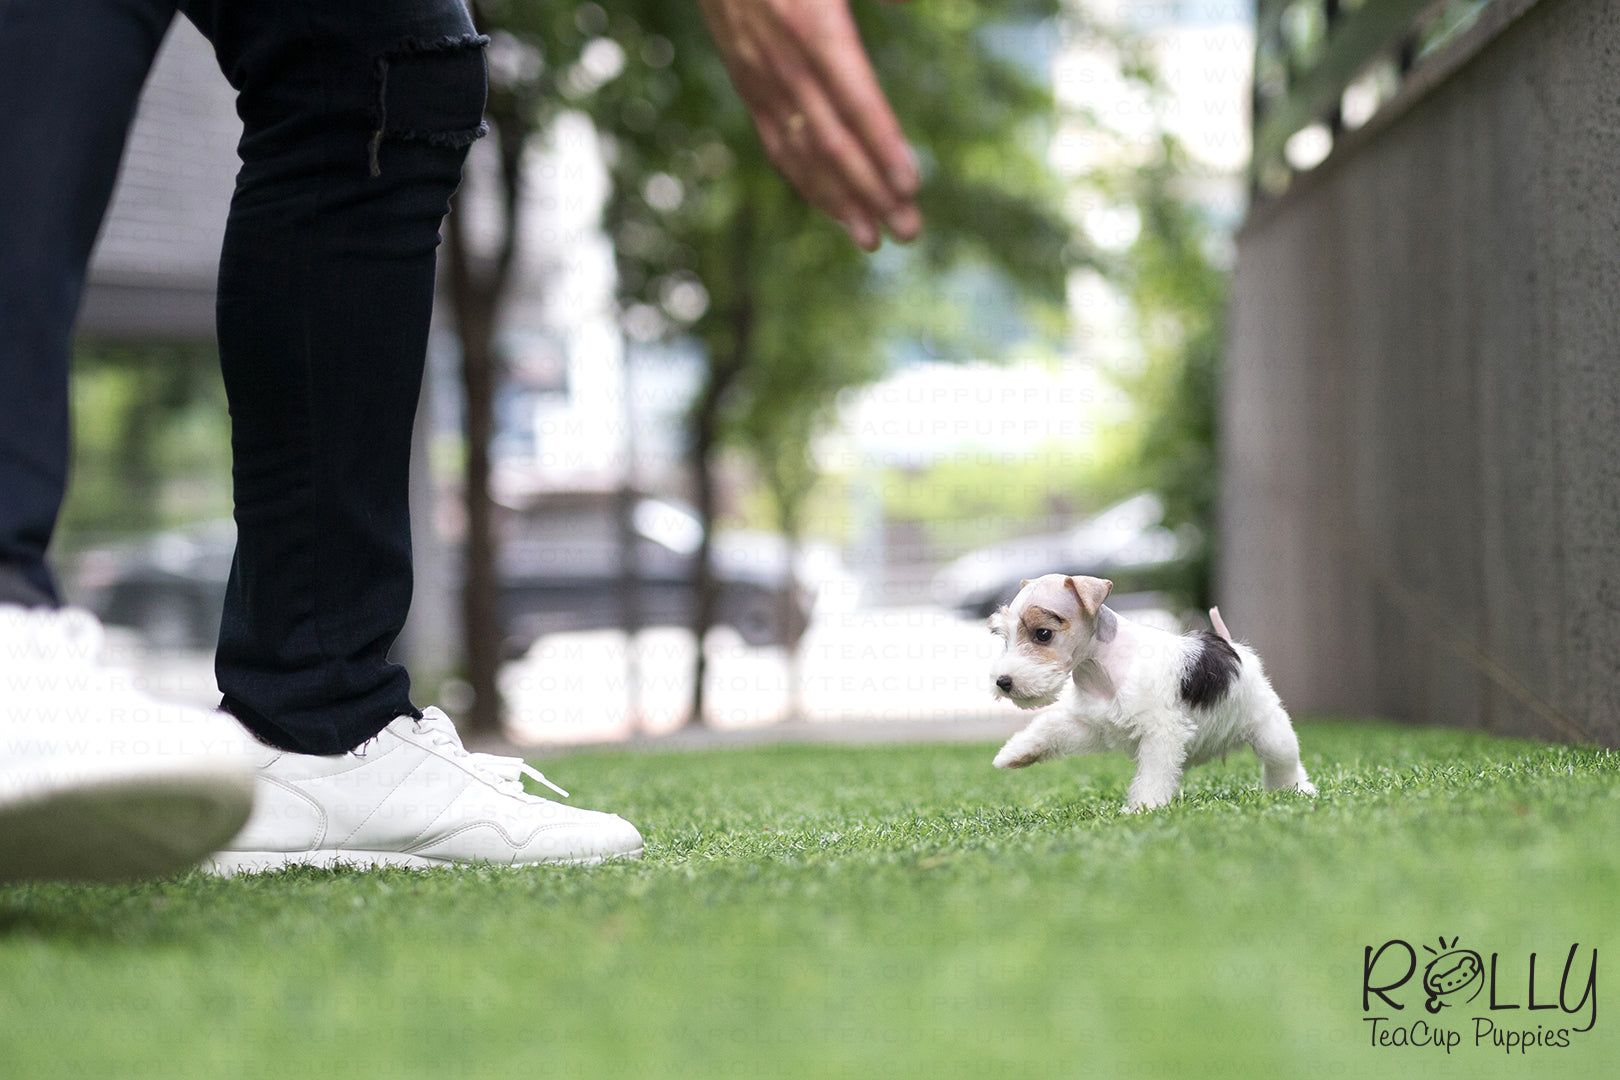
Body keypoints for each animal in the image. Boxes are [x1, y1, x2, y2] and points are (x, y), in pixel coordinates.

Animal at [984, 573, 1315, 809]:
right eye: (1004, 635)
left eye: (1043, 633)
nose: (1003, 682)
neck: (1101, 669)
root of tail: (1232, 646)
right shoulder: (1091, 725)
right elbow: (1049, 728)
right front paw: (1012, 755)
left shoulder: (1161, 733)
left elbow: (1153, 777)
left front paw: (1143, 808)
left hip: (1271, 733)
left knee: (1285, 766)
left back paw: (1297, 792)